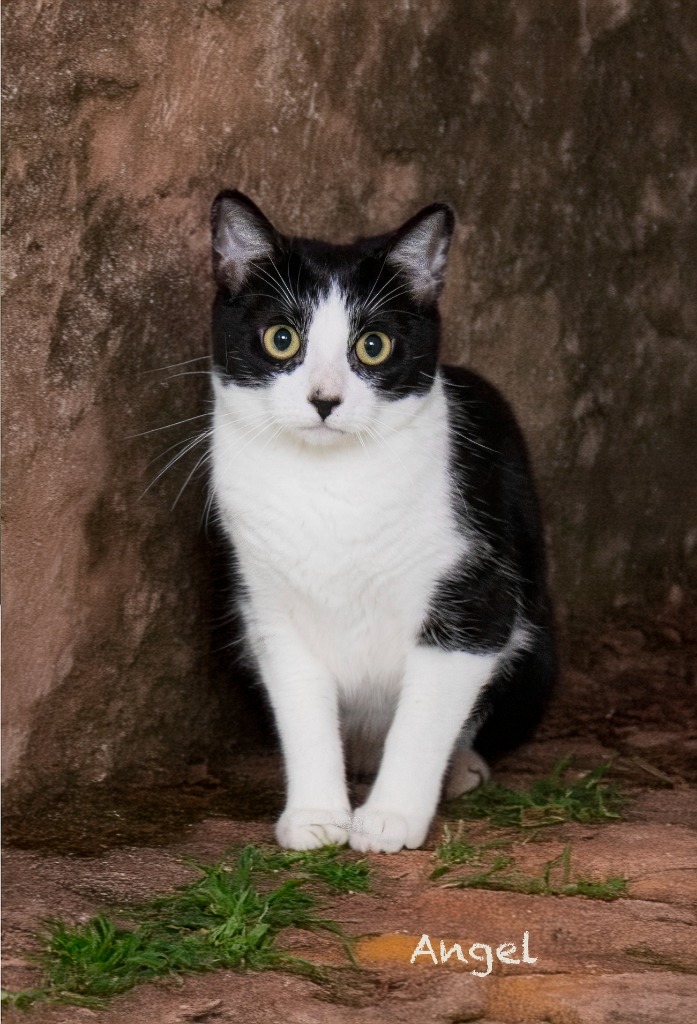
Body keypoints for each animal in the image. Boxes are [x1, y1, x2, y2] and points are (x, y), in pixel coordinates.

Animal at [206, 192, 552, 856]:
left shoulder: (476, 596)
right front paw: (317, 815)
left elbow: (425, 713)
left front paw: (391, 816)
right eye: (281, 338)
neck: (332, 483)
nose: (324, 399)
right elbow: (301, 705)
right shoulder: (269, 605)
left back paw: (457, 769)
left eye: (373, 346)